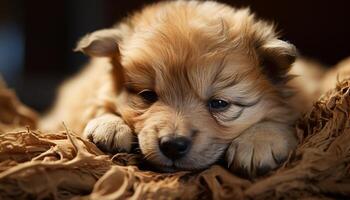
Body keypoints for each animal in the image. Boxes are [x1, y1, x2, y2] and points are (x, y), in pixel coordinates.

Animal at [41, 1, 318, 177]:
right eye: (147, 96)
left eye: (219, 104)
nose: (172, 145)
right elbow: (96, 104)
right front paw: (108, 125)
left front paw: (258, 141)